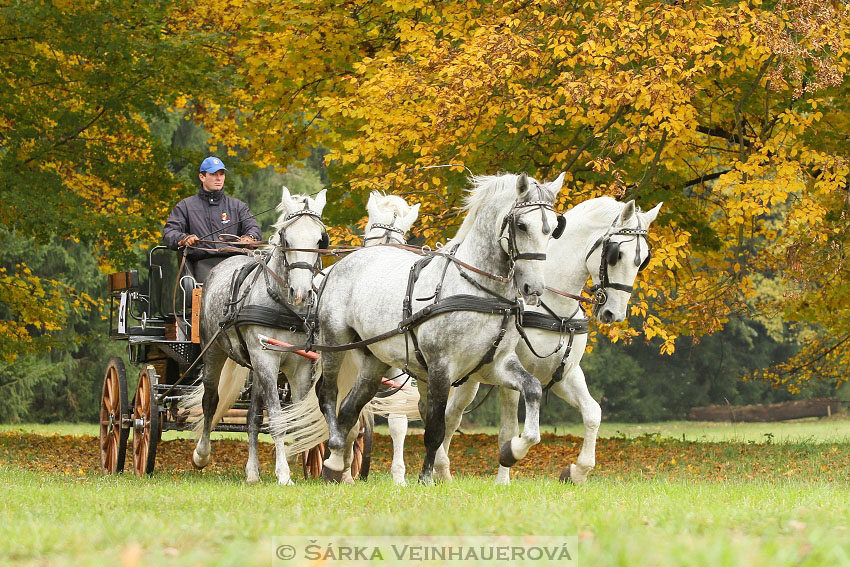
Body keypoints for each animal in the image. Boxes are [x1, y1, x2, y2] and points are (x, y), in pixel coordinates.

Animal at [276, 172, 564, 484]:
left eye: (553, 229)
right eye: (521, 225)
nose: (534, 287)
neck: (480, 290)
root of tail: (341, 265)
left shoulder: (495, 365)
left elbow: (533, 390)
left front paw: (513, 451)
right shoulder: (440, 367)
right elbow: (435, 428)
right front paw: (426, 478)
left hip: (373, 361)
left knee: (351, 406)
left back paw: (336, 463)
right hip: (334, 343)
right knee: (327, 395)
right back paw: (336, 451)